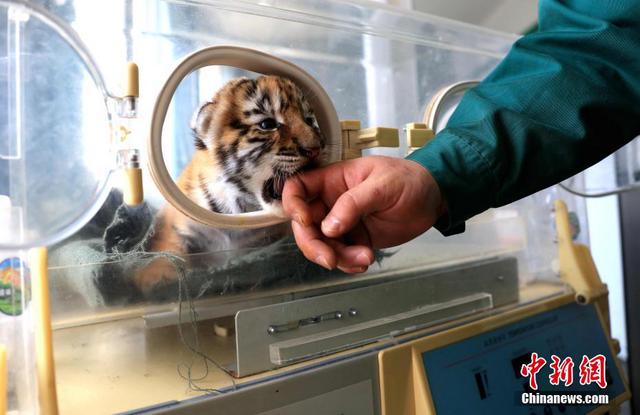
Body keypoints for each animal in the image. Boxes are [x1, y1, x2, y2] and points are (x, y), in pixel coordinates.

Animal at [134, 75, 327, 294]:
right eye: (267, 124)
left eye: (309, 121)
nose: (316, 149)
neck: (240, 206)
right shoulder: (173, 224)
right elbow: (168, 248)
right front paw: (156, 278)